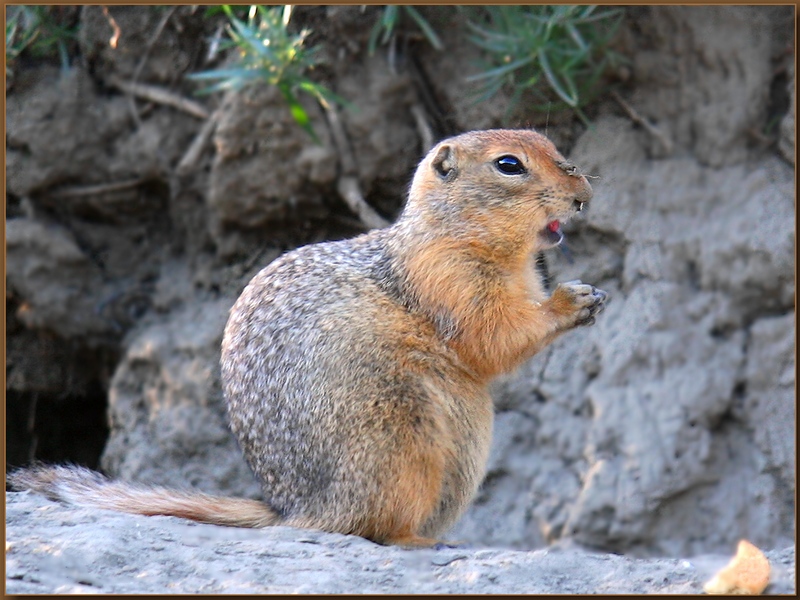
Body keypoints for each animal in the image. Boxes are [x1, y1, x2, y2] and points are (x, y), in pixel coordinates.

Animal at [7, 127, 608, 548]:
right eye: (509, 165)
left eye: (551, 144)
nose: (583, 190)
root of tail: (299, 510)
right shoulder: (449, 277)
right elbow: (494, 334)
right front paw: (573, 301)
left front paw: (589, 295)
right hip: (401, 441)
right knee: (372, 526)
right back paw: (421, 542)